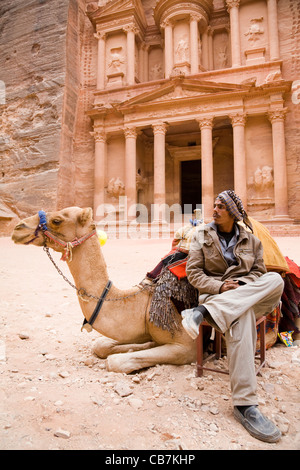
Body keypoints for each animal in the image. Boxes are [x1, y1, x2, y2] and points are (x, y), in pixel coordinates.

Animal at [11, 207, 196, 372]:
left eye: (57, 220)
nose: (18, 227)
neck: (144, 304)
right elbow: (100, 345)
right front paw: (140, 345)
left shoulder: (186, 346)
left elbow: (114, 362)